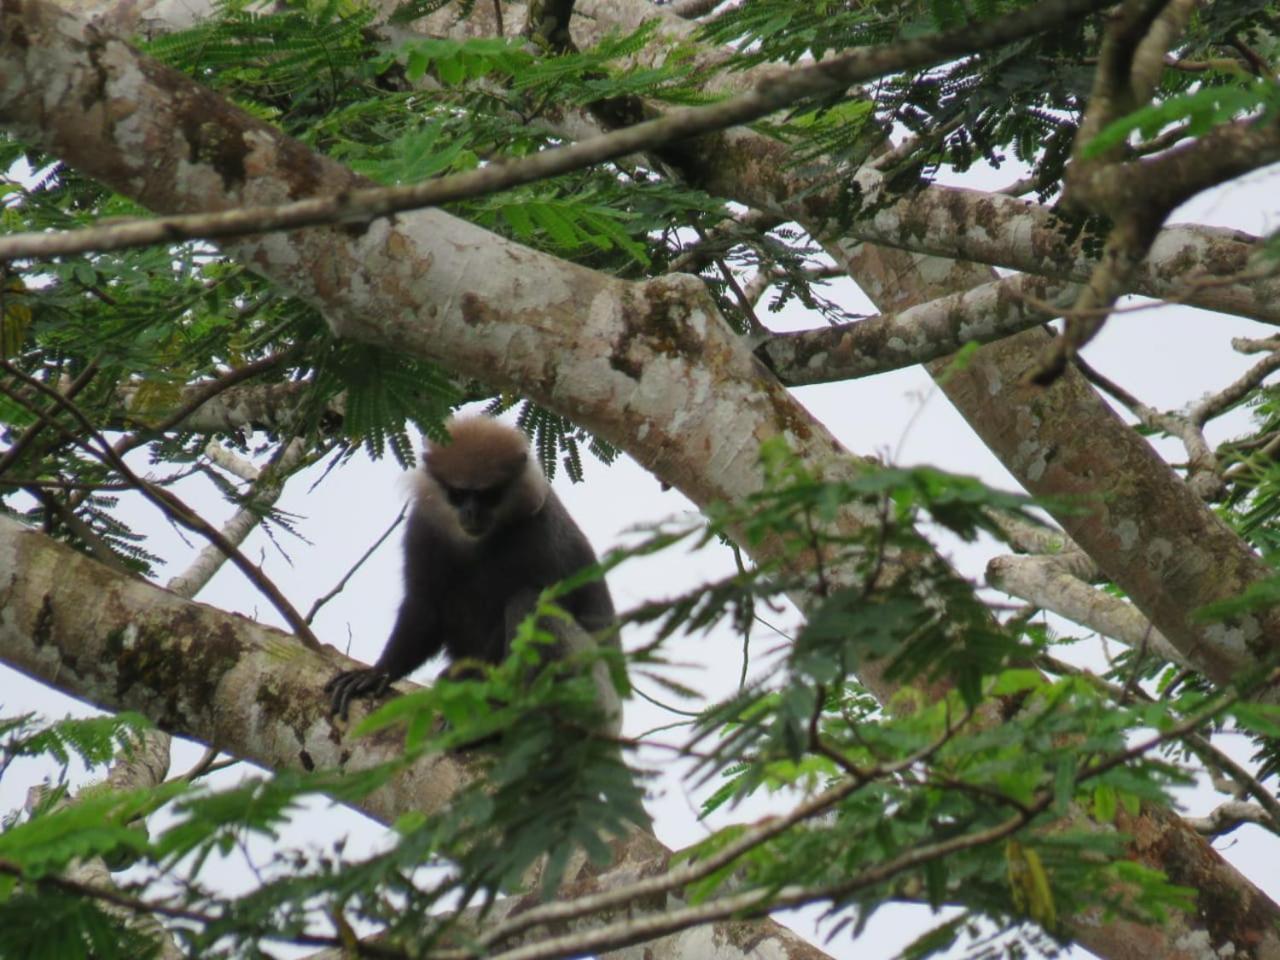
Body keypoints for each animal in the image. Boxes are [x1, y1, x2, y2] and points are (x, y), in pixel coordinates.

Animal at [322, 417, 616, 732]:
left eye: (489, 495)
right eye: (459, 494)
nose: (472, 513)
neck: (477, 543)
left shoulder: (543, 533)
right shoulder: (423, 526)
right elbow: (424, 607)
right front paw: (379, 672)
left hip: (593, 691)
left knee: (529, 601)